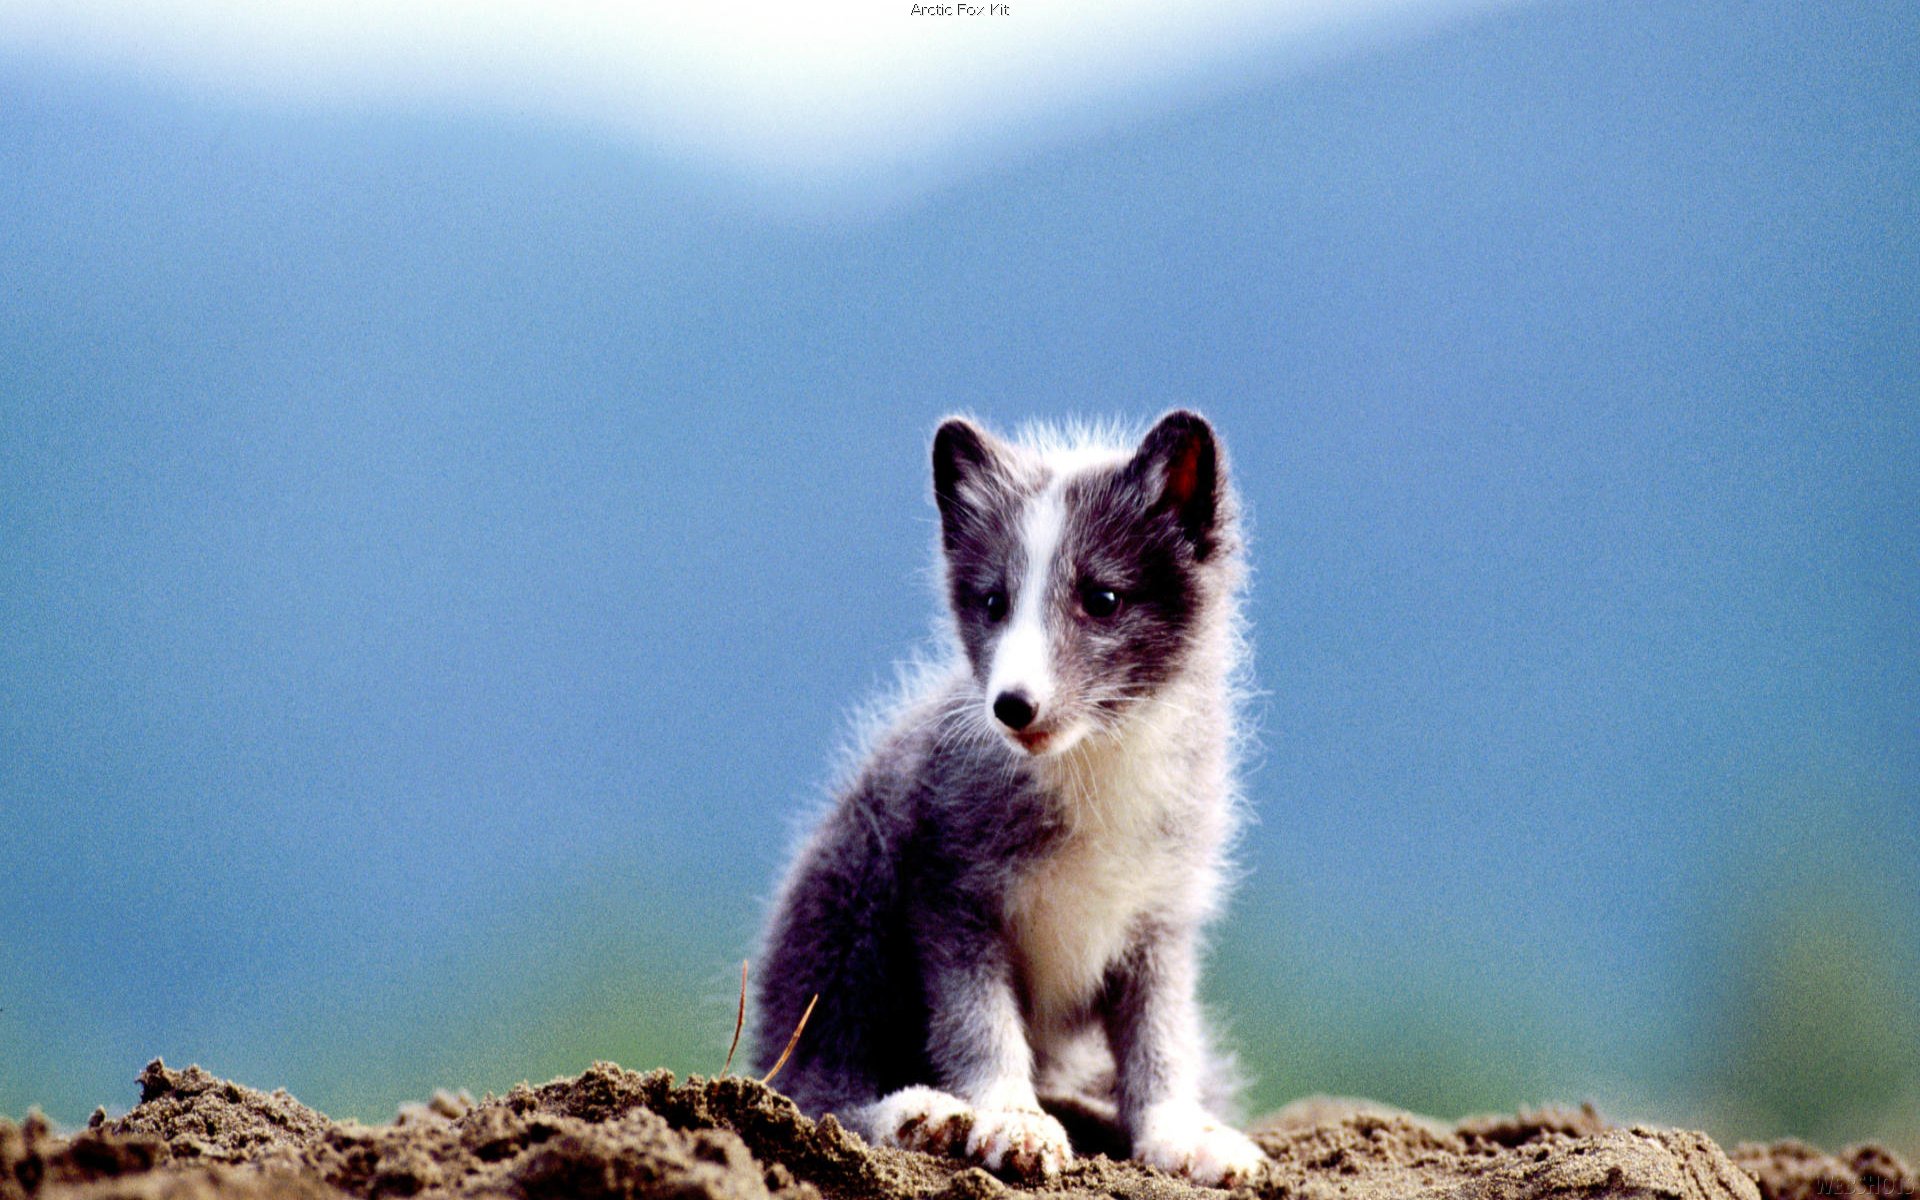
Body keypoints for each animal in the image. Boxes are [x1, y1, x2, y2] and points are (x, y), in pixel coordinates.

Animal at [751, 411, 1264, 1187]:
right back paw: (919, 1116)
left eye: (1103, 599)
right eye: (994, 602)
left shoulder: (1160, 919)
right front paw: (1008, 1118)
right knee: (809, 1089)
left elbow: (1161, 1039)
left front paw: (1180, 1134)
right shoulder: (950, 894)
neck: (1091, 767)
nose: (1011, 706)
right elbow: (981, 1026)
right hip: (851, 895)